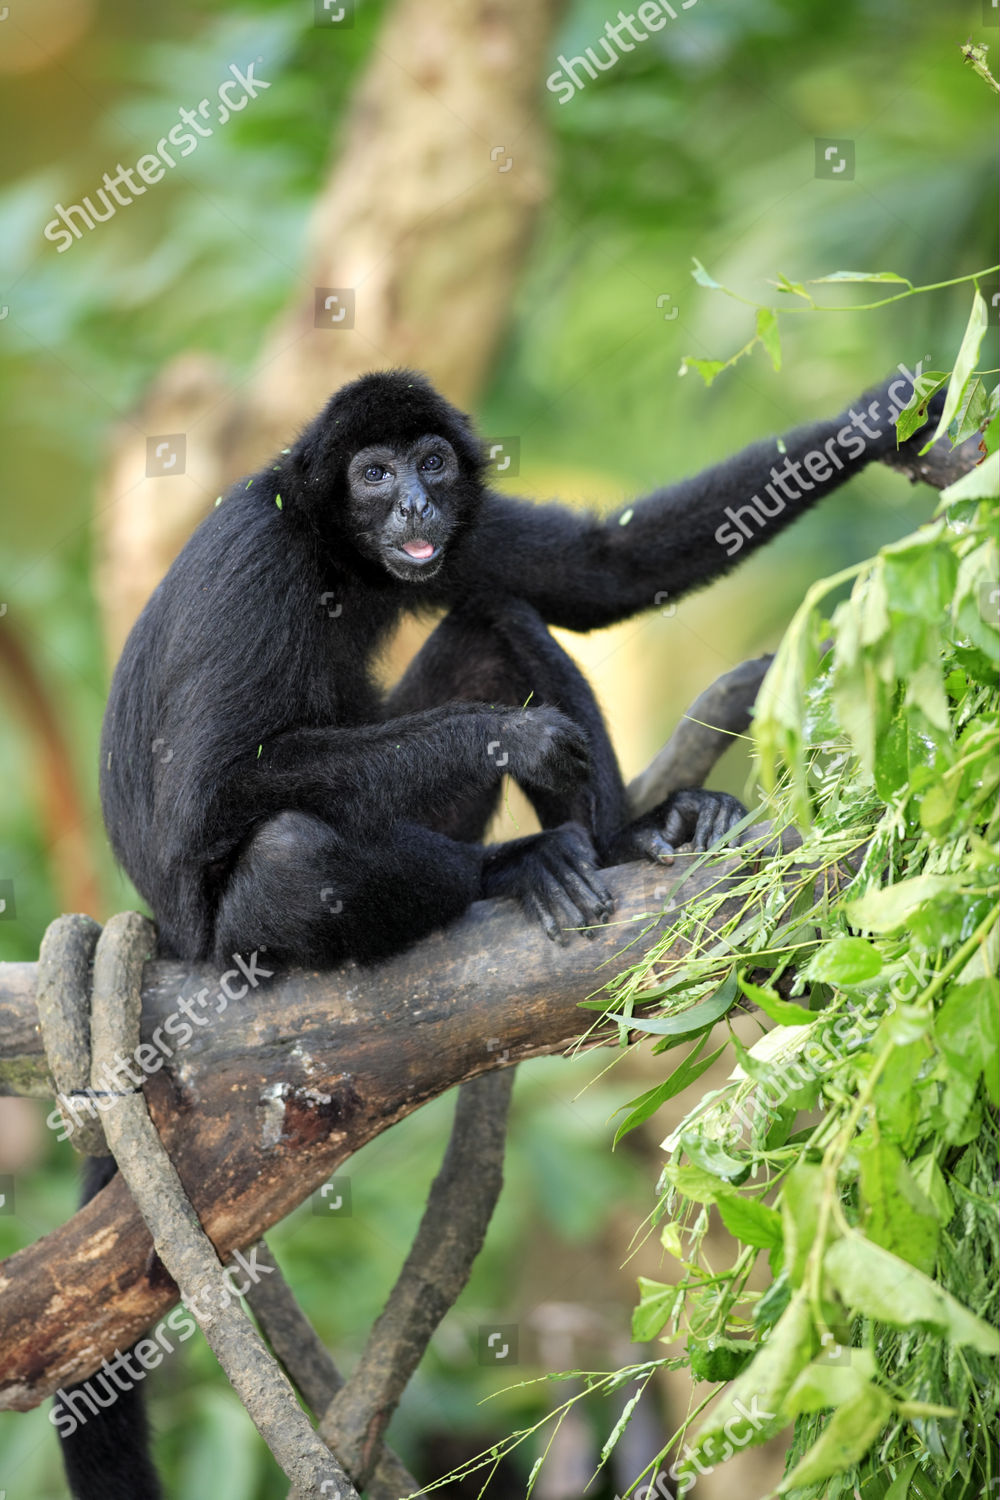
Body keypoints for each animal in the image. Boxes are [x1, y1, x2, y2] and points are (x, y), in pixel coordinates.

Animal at [60, 366, 941, 1500]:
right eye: (373, 474)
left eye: (432, 465)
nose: (415, 507)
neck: (330, 552)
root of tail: (176, 943)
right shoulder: (258, 563)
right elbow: (209, 793)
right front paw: (516, 742)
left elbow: (595, 573)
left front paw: (884, 418)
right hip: (236, 932)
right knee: (296, 848)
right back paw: (518, 866)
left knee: (493, 616)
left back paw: (634, 837)